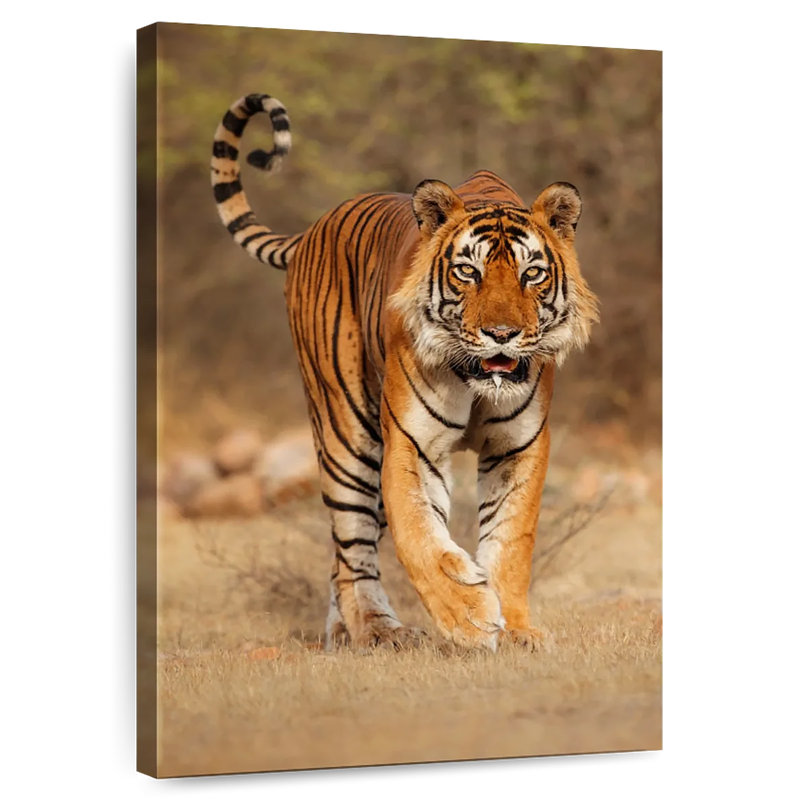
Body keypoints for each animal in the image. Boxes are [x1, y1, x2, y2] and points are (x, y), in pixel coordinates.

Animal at [211, 93, 598, 651]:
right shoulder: (412, 444)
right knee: (353, 548)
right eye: (468, 272)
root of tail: (310, 231)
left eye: (532, 274)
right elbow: (419, 537)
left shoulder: (518, 446)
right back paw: (376, 630)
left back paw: (343, 632)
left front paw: (518, 629)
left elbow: (511, 541)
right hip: (348, 435)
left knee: (342, 553)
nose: (501, 334)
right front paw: (471, 617)